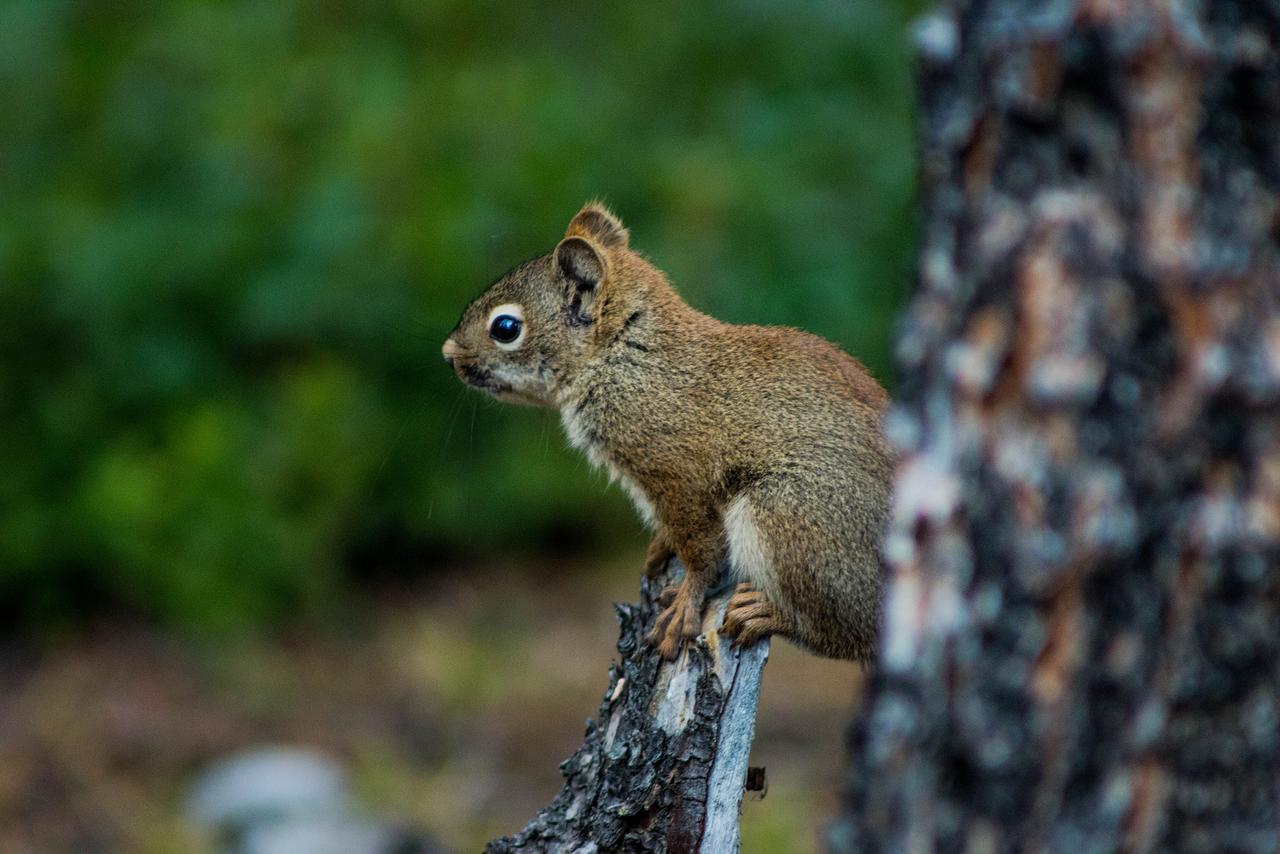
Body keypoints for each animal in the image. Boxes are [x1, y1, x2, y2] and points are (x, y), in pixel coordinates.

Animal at [445, 202, 896, 660]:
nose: (448, 354)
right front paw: (661, 546)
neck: (622, 354)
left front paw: (684, 605)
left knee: (846, 634)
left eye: (505, 328)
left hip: (792, 518)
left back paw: (769, 614)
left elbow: (701, 552)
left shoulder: (678, 474)